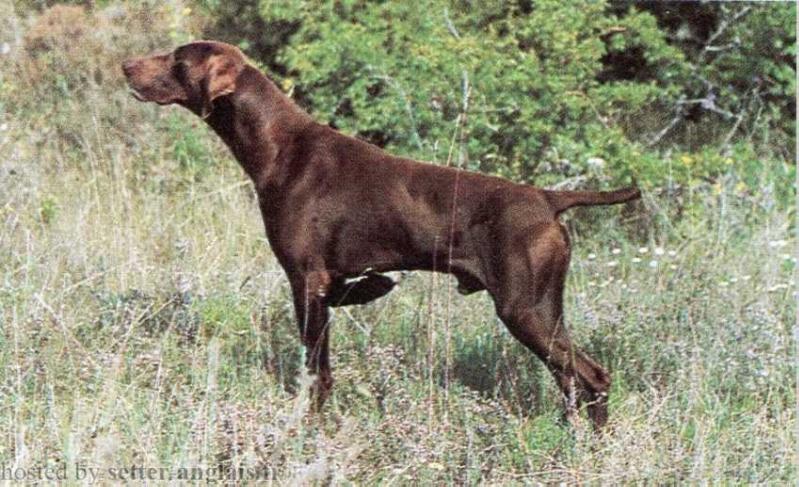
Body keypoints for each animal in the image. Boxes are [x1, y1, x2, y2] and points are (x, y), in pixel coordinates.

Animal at [122, 40, 640, 428]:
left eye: (176, 59)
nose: (125, 66)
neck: (279, 146)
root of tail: (547, 199)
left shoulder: (306, 281)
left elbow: (317, 372)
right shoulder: (327, 284)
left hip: (524, 309)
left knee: (593, 378)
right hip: (544, 311)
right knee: (573, 382)